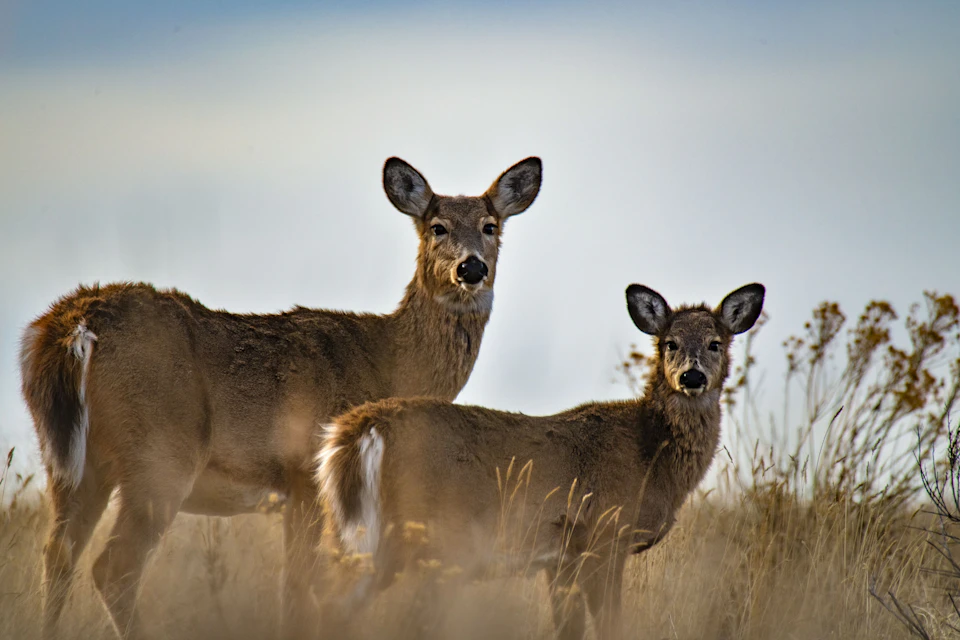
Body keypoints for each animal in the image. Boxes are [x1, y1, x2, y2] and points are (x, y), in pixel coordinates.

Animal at [18, 156, 542, 640]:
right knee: (114, 566)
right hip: (160, 451)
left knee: (57, 554)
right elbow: (299, 595)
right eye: (437, 227)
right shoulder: (306, 475)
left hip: (73, 460)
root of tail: (73, 325)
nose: (471, 267)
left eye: (491, 226)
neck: (391, 362)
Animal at [317, 282, 764, 640]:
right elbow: (610, 625)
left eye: (716, 343)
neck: (649, 455)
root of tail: (358, 429)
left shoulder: (561, 559)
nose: (692, 377)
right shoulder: (605, 536)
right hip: (428, 536)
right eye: (670, 342)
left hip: (352, 533)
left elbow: (570, 629)